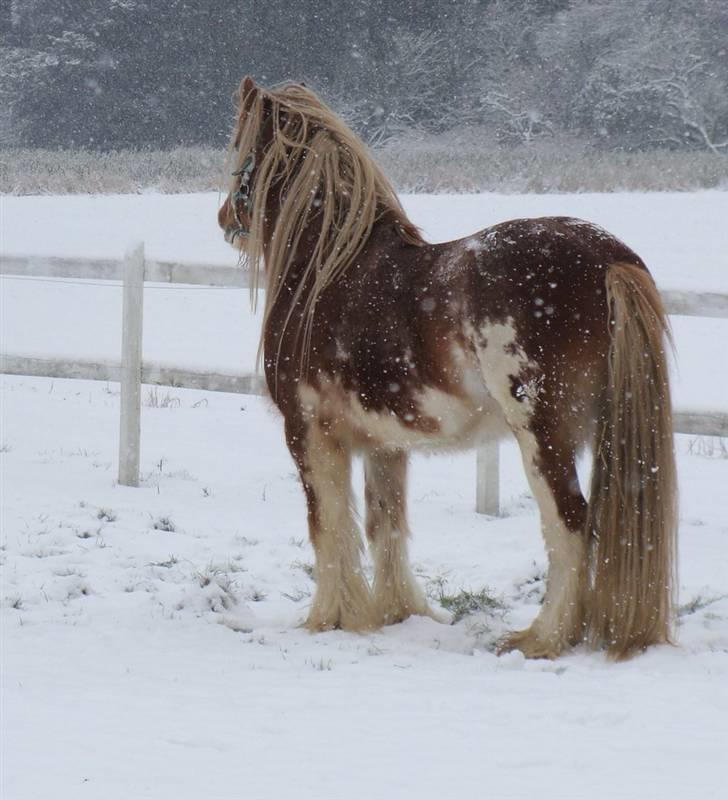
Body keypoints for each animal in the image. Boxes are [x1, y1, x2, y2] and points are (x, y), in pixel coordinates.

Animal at [216, 78, 676, 660]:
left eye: (241, 149)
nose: (225, 218)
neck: (325, 269)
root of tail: (607, 258)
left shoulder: (308, 433)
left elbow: (329, 525)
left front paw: (329, 619)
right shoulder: (385, 443)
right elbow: (385, 524)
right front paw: (398, 613)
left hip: (543, 432)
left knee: (571, 522)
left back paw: (542, 638)